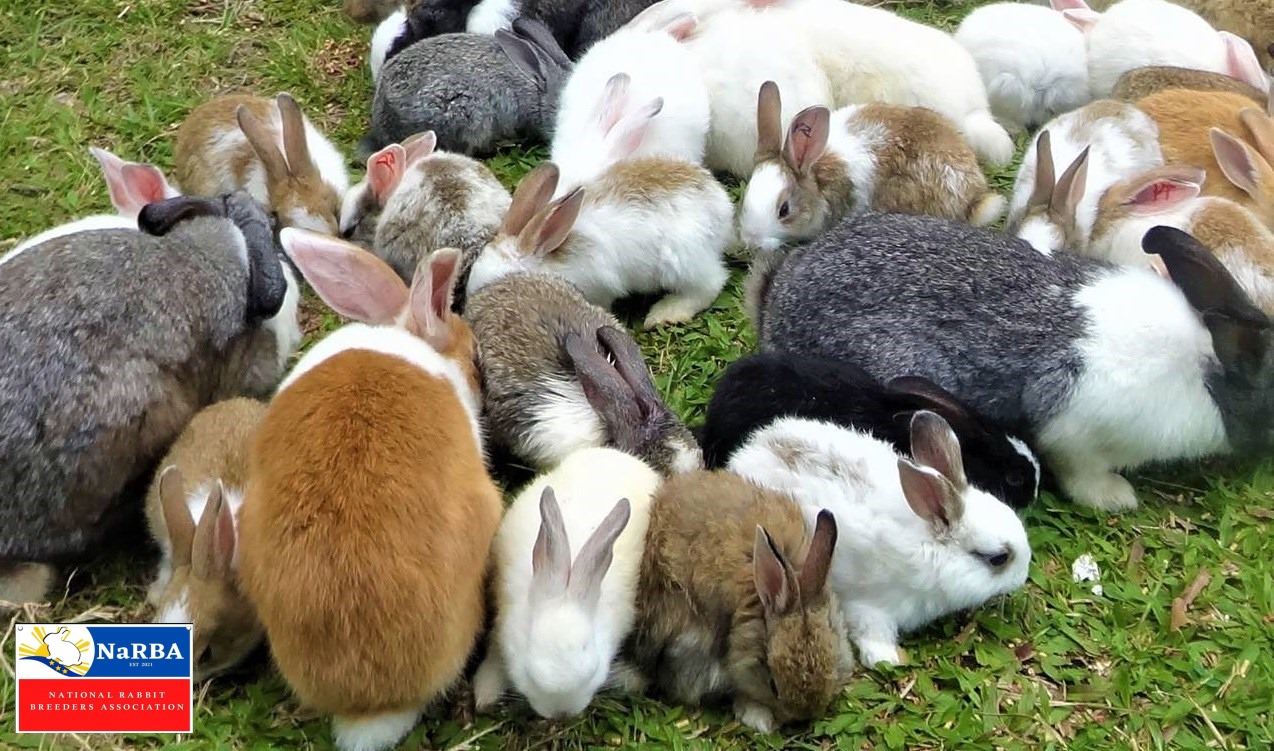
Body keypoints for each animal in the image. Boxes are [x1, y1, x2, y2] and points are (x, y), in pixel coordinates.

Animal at [728, 412, 1032, 668]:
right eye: (999, 558)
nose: (1022, 578)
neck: (929, 546)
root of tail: (747, 452)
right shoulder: (870, 607)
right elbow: (872, 633)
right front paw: (887, 660)